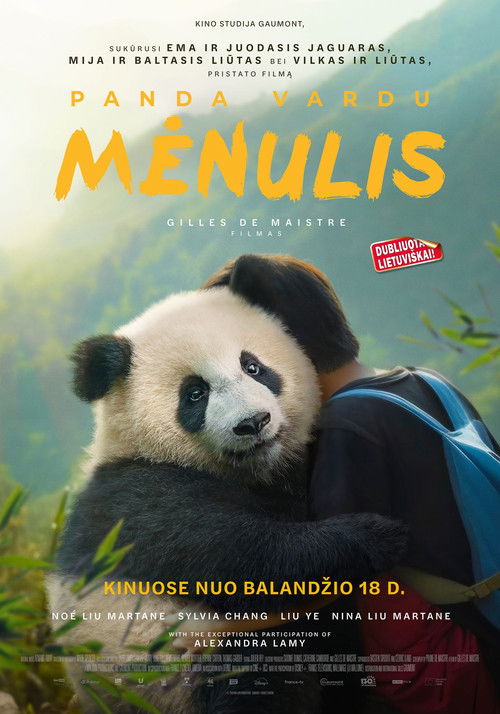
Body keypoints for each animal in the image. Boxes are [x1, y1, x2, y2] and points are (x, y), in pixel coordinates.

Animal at [47, 285, 406, 714]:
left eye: (252, 366)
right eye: (194, 393)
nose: (253, 422)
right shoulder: (137, 500)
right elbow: (242, 558)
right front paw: (375, 535)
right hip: (177, 668)